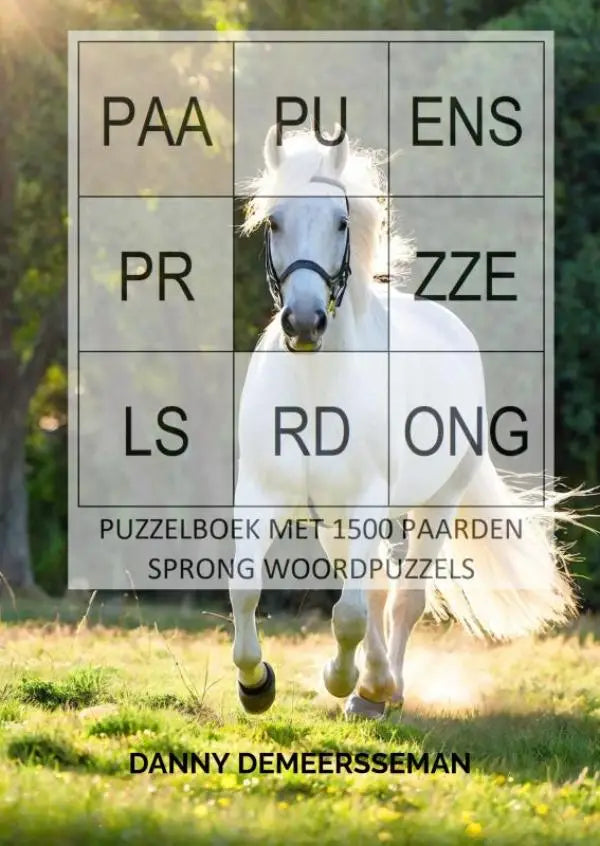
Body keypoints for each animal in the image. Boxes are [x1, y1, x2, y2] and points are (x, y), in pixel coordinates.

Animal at [229, 126, 575, 719]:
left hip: (438, 499)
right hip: (333, 517)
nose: (305, 323)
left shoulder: (369, 500)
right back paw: (372, 685)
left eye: (340, 223)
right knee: (375, 588)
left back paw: (380, 690)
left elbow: (351, 610)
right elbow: (245, 589)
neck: (314, 388)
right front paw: (256, 684)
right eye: (274, 221)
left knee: (402, 596)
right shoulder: (261, 493)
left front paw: (344, 681)